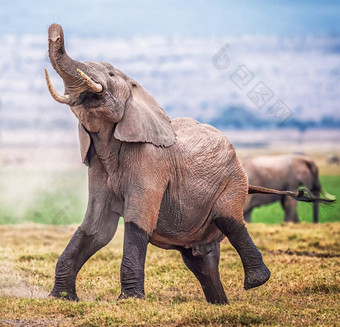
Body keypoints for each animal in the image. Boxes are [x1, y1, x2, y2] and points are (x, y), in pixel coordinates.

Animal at [43, 23, 328, 304]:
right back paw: (219, 304)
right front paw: (60, 298)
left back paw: (256, 281)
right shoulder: (98, 166)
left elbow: (136, 223)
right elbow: (96, 228)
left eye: (111, 74)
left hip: (233, 180)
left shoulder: (151, 163)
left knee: (229, 220)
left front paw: (129, 301)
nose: (54, 27)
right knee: (201, 261)